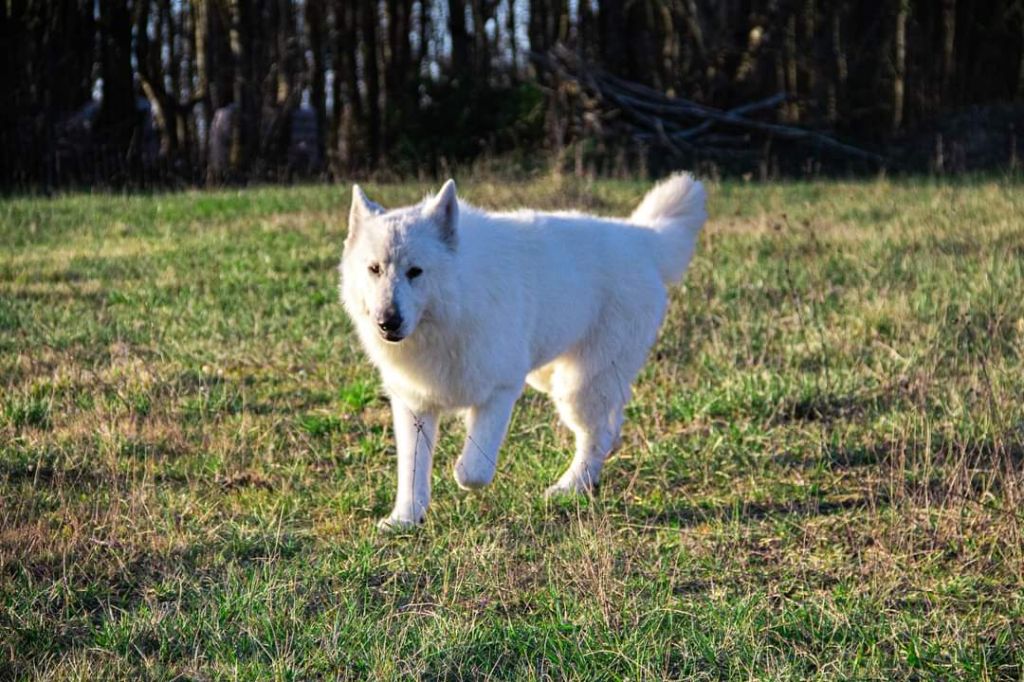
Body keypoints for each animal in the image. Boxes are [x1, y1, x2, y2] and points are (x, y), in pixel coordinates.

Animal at [339, 174, 707, 529]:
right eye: (374, 269)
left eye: (415, 271)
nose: (387, 322)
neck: (453, 307)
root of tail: (642, 238)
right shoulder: (414, 405)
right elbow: (412, 471)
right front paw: (405, 519)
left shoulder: (500, 391)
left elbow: (474, 469)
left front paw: (459, 473)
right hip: (556, 379)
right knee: (611, 424)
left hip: (578, 385)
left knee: (596, 436)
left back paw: (568, 488)